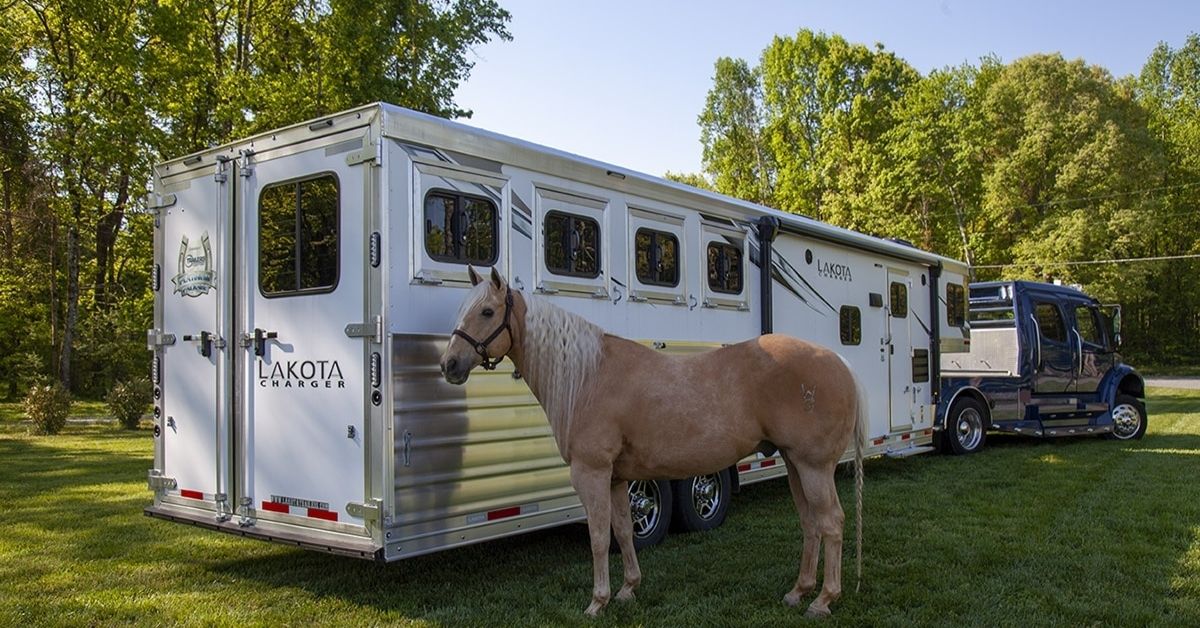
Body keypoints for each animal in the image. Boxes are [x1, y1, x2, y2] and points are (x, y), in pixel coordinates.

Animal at [441, 266, 864, 619]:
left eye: (487, 312)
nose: (449, 365)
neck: (589, 376)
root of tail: (839, 361)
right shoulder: (616, 479)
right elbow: (624, 530)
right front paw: (628, 589)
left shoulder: (591, 473)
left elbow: (598, 537)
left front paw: (597, 602)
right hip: (795, 464)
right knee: (810, 523)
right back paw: (798, 592)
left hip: (814, 467)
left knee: (831, 522)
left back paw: (823, 600)